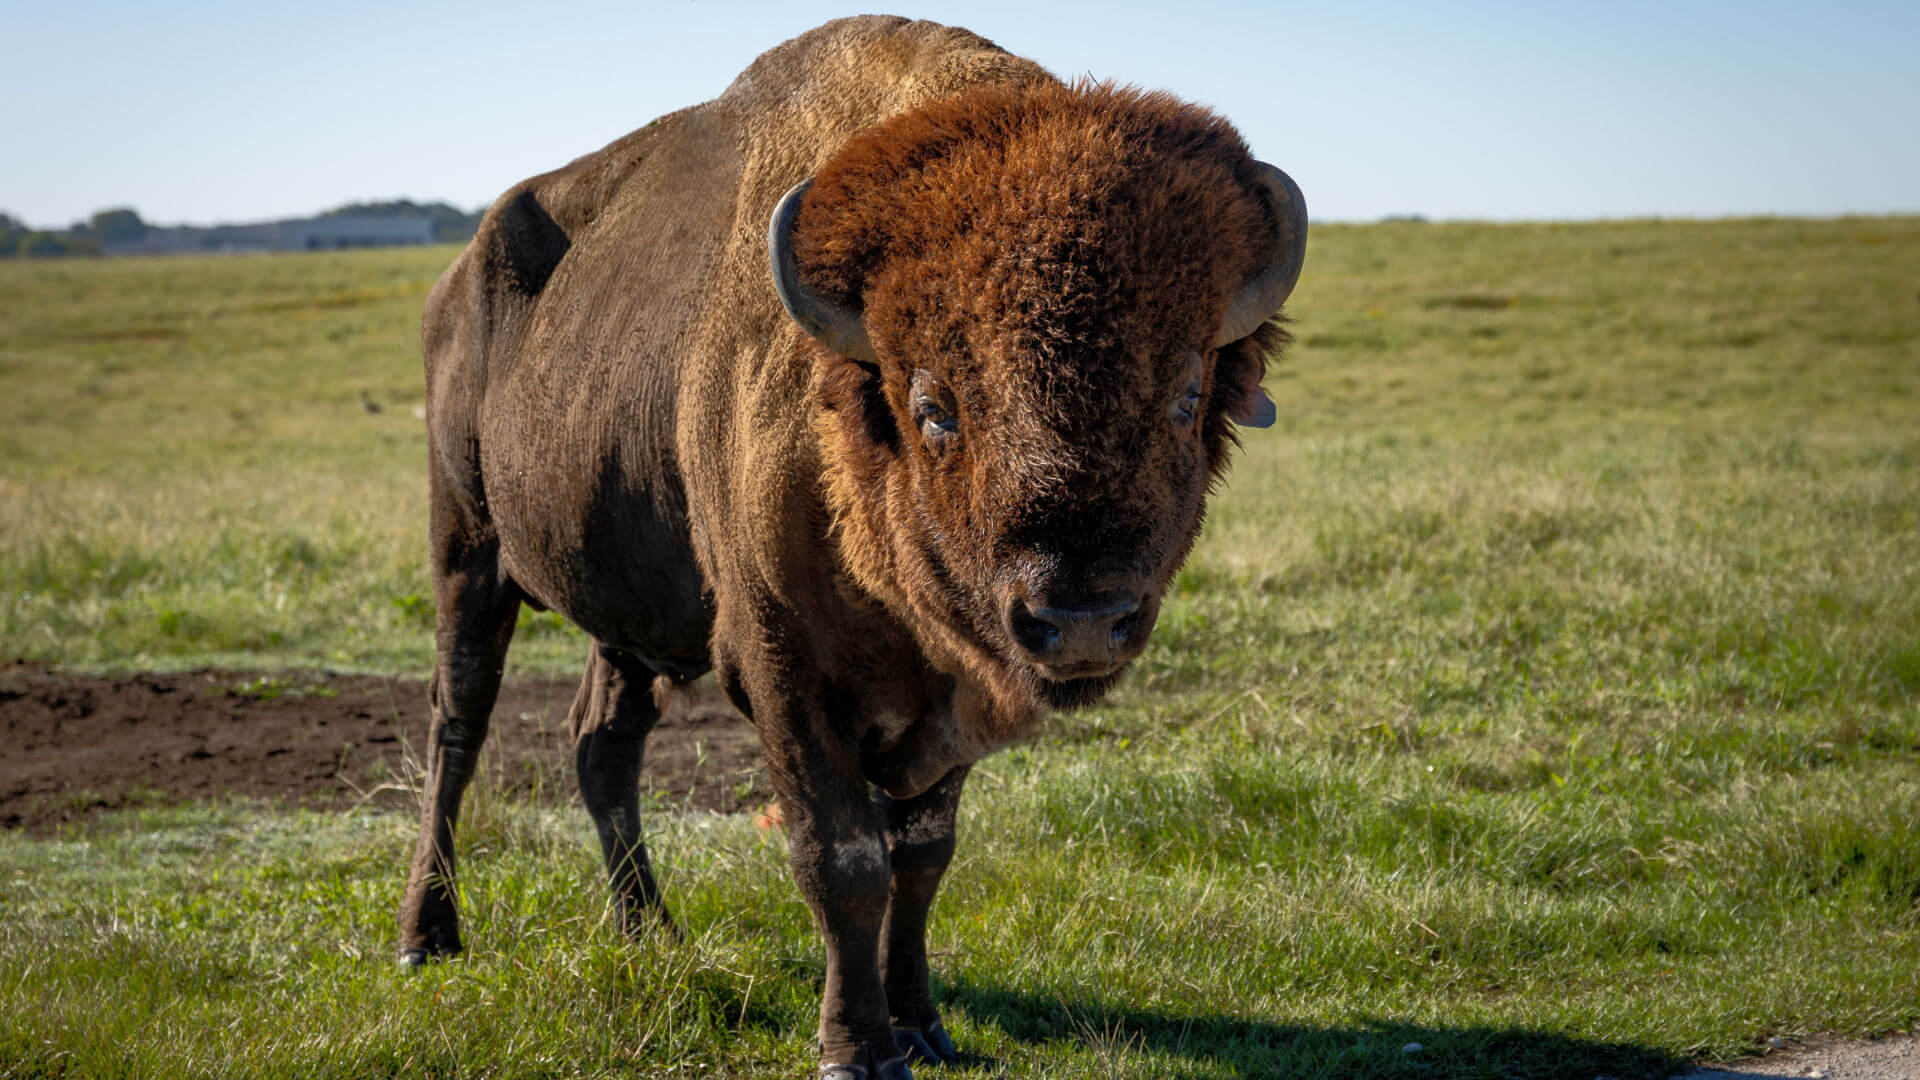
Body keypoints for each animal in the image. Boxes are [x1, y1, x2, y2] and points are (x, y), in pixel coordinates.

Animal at [399, 16, 1305, 1078]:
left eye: (1186, 395)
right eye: (934, 406)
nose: (1081, 619)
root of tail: (456, 281)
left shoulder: (955, 688)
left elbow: (922, 857)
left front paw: (922, 1024)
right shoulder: (784, 671)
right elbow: (843, 860)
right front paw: (856, 1048)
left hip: (630, 614)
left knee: (601, 744)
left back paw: (650, 933)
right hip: (468, 547)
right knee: (458, 723)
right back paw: (427, 937)